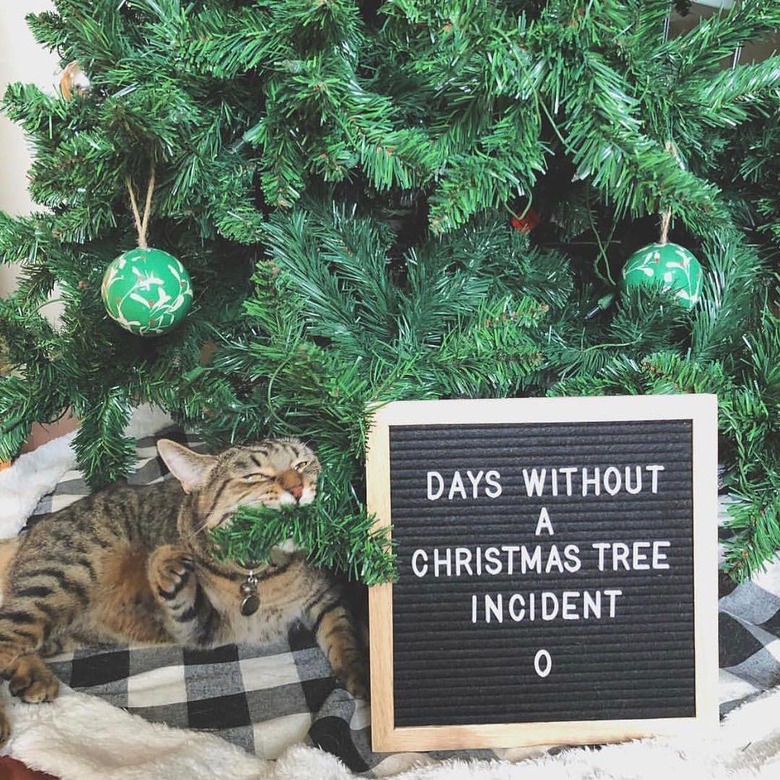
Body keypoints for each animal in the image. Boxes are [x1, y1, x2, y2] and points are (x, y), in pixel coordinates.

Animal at [0, 436, 368, 748]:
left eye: (302, 464)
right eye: (254, 476)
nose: (298, 486)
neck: (260, 573)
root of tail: (30, 534)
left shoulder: (327, 596)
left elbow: (343, 635)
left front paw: (362, 677)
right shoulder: (200, 628)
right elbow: (182, 599)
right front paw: (163, 564)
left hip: (65, 628)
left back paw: (33, 677)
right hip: (57, 583)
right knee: (6, 635)